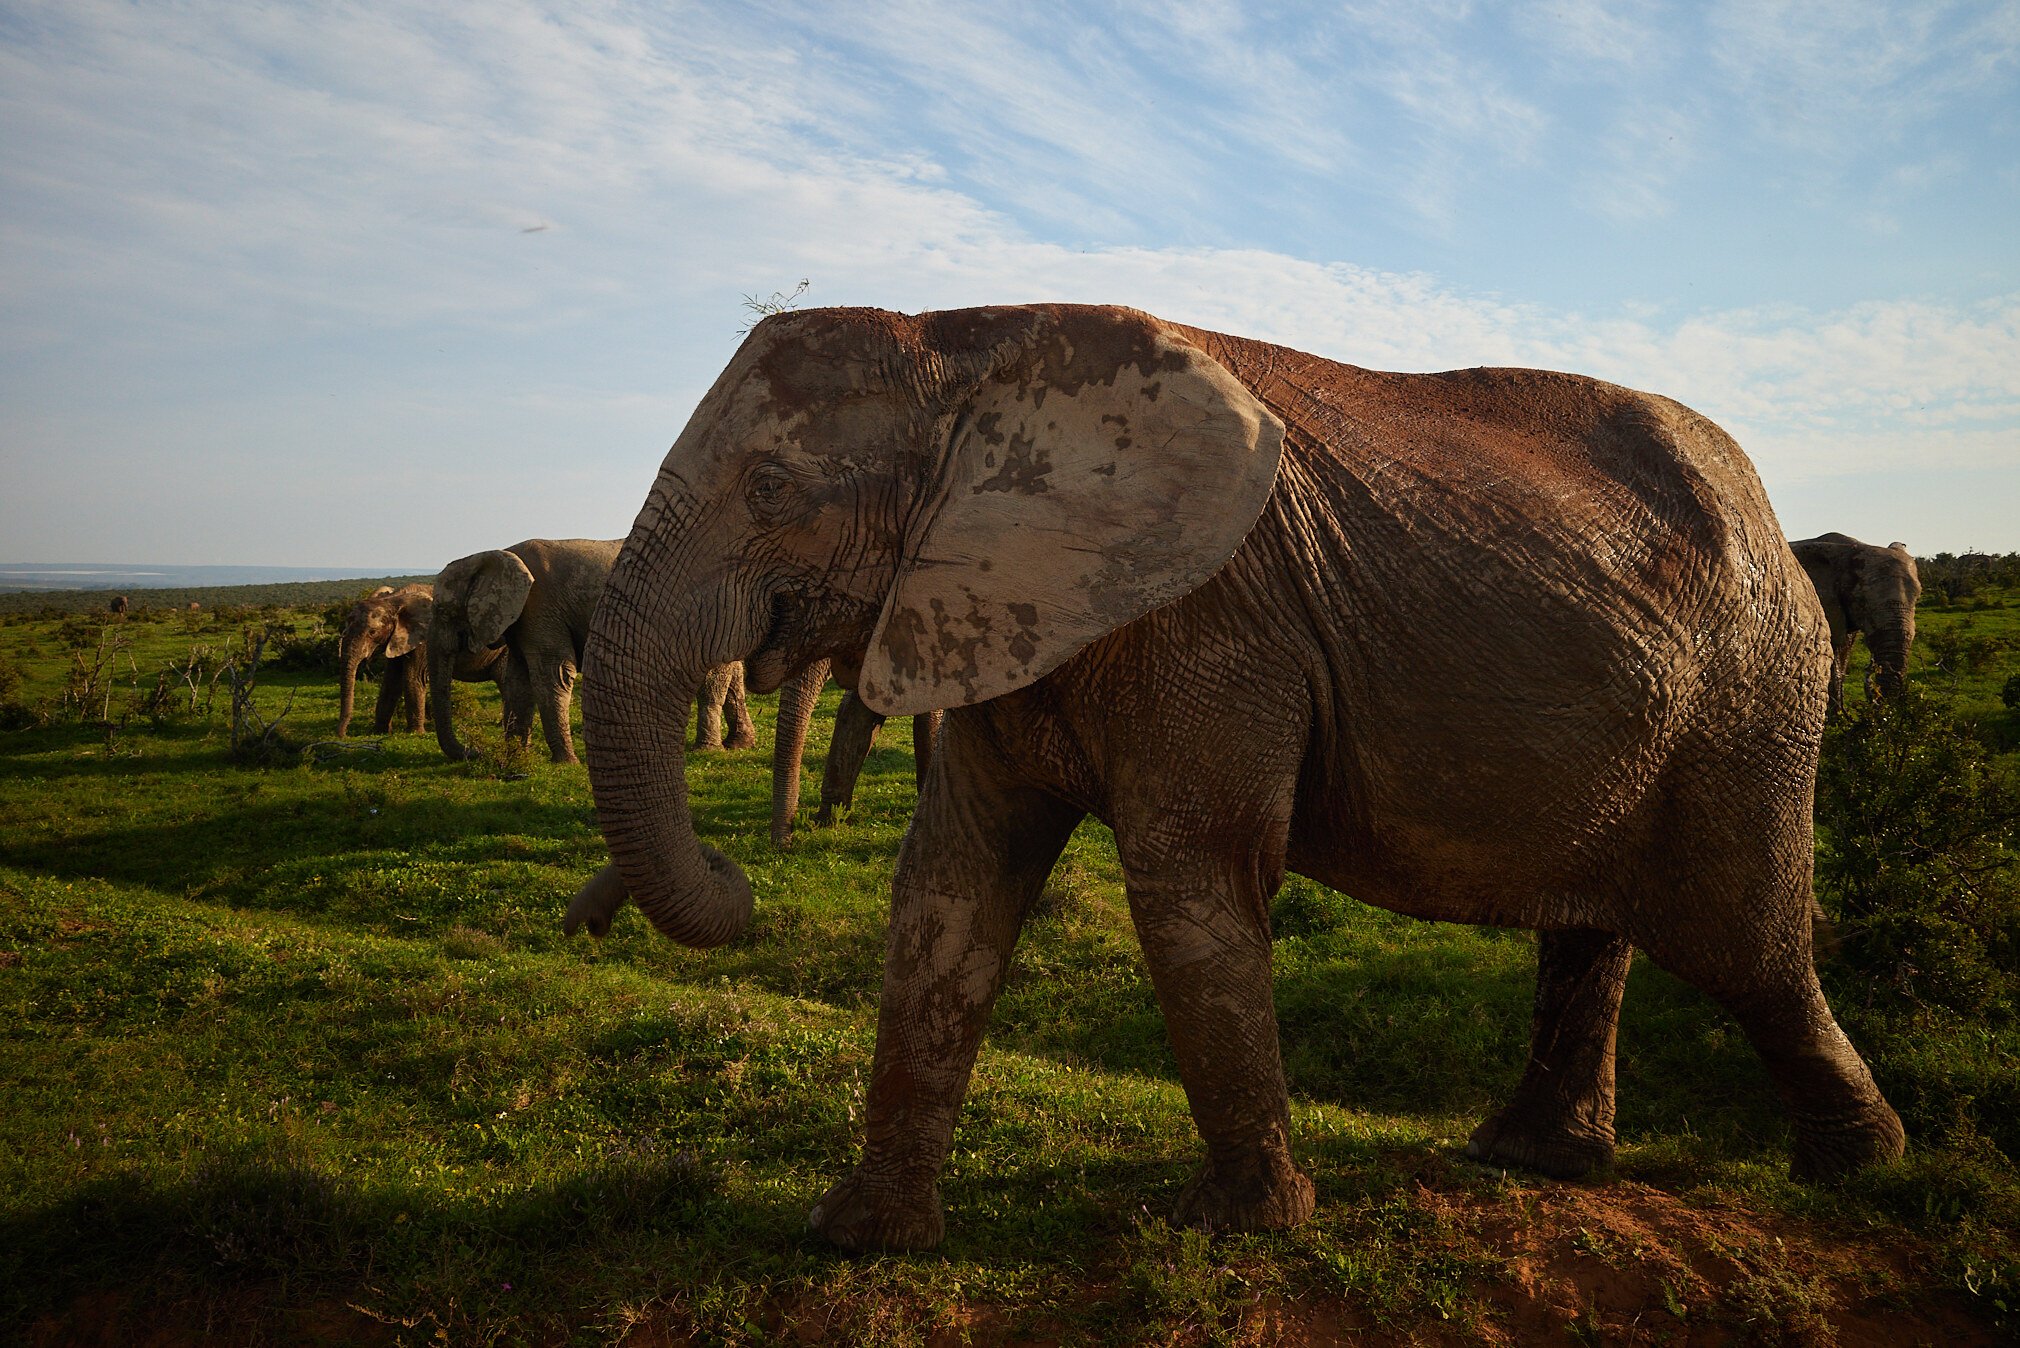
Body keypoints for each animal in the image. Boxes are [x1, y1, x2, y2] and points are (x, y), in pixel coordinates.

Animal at [561, 303, 1904, 1252]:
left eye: (771, 489)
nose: (740, 877)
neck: (964, 345)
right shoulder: (997, 601)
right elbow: (951, 882)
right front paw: (860, 1240)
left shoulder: (1213, 622)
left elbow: (1188, 876)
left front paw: (1242, 1227)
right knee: (1598, 931)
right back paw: (1528, 1160)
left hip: (1754, 701)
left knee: (1746, 943)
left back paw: (1863, 1168)